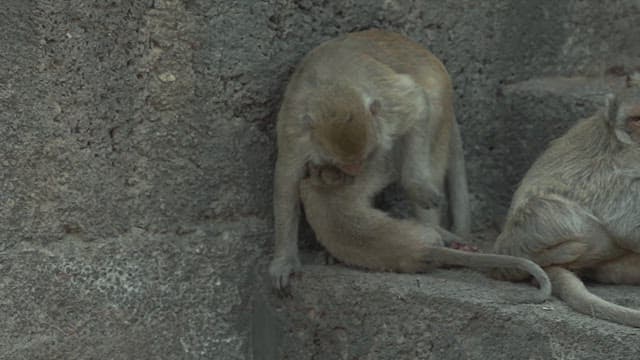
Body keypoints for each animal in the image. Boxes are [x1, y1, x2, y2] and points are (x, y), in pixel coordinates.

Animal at [270, 28, 470, 290]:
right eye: (344, 164)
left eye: (364, 158)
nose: (356, 171)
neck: (335, 85)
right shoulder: (294, 131)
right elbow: (286, 181)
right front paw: (285, 261)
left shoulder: (390, 106)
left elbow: (418, 105)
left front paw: (416, 186)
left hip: (441, 111)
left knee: (431, 117)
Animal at [296, 162, 552, 302]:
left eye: (318, 167)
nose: (311, 166)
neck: (324, 189)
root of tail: (422, 249)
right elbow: (380, 174)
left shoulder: (310, 190)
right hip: (422, 229)